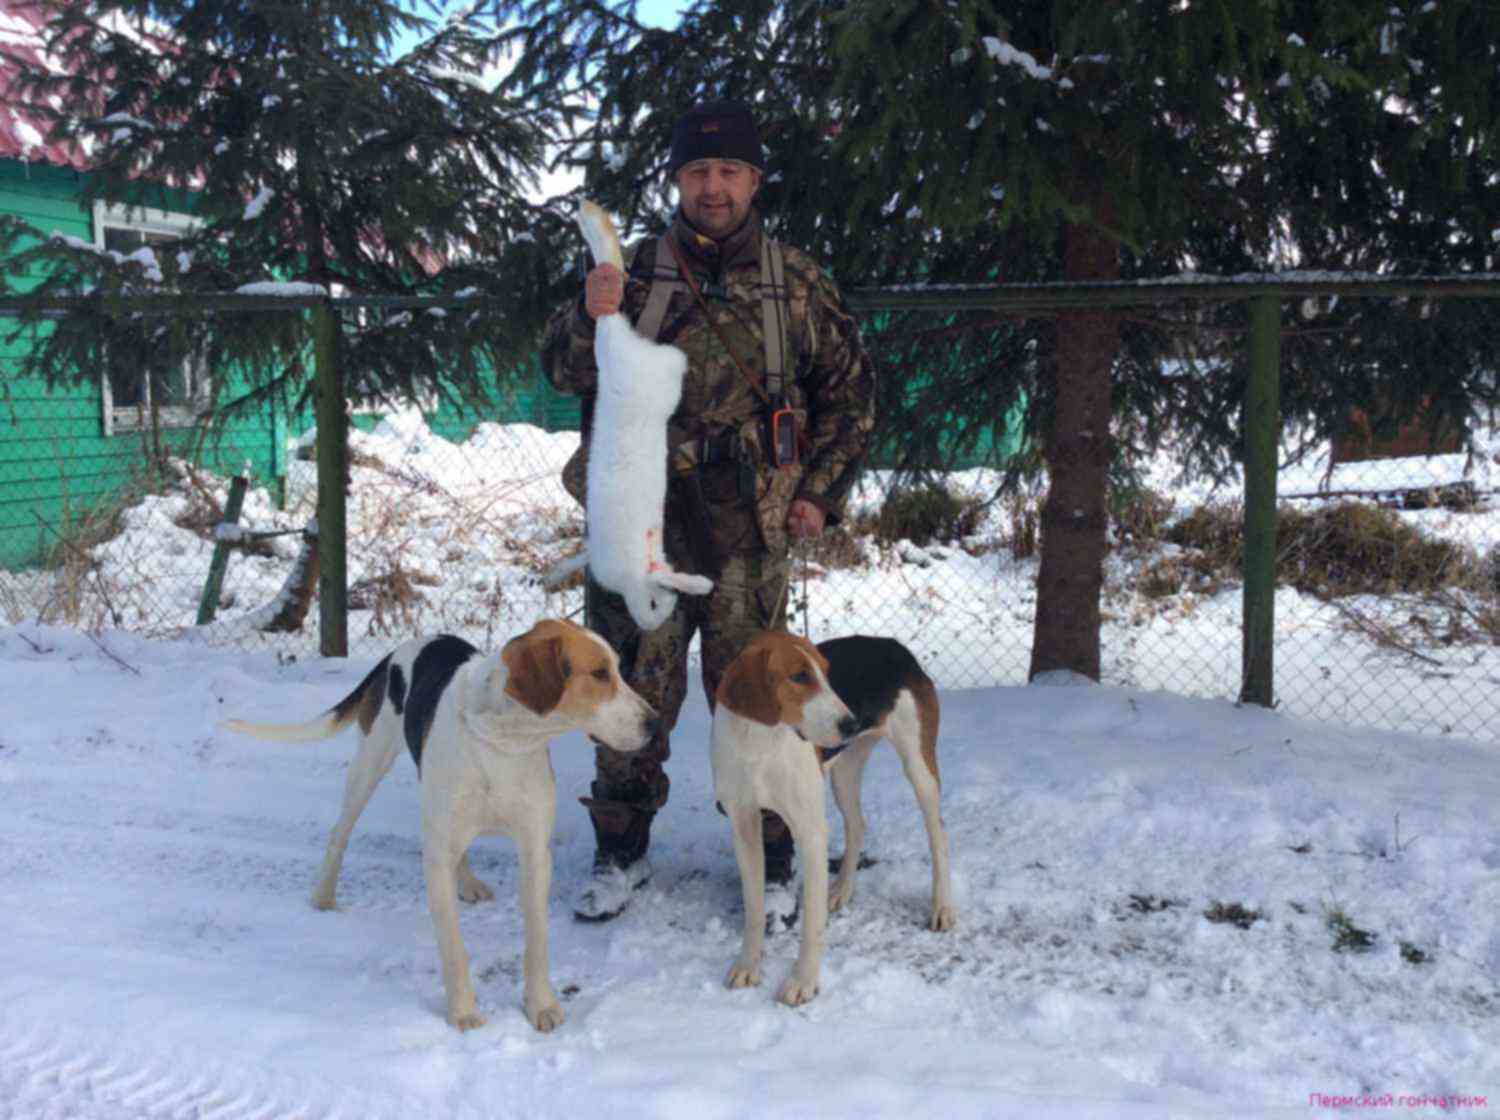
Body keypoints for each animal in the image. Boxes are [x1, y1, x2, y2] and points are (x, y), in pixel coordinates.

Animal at [219, 620, 654, 1031]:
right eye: (599, 674)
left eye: (617, 668)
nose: (655, 722)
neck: (502, 739)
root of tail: (397, 651)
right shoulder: (438, 860)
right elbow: (453, 949)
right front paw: (463, 1013)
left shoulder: (534, 853)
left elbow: (537, 941)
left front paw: (541, 1005)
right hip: (370, 764)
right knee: (339, 832)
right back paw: (324, 894)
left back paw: (469, 883)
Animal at [711, 629, 948, 1007]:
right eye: (799, 676)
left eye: (826, 672)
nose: (851, 723)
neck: (760, 742)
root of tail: (892, 643)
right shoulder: (744, 826)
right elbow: (754, 909)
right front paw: (748, 965)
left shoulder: (809, 832)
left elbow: (811, 924)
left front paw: (803, 982)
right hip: (844, 772)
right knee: (858, 825)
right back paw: (842, 890)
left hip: (918, 768)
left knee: (938, 833)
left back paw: (943, 907)